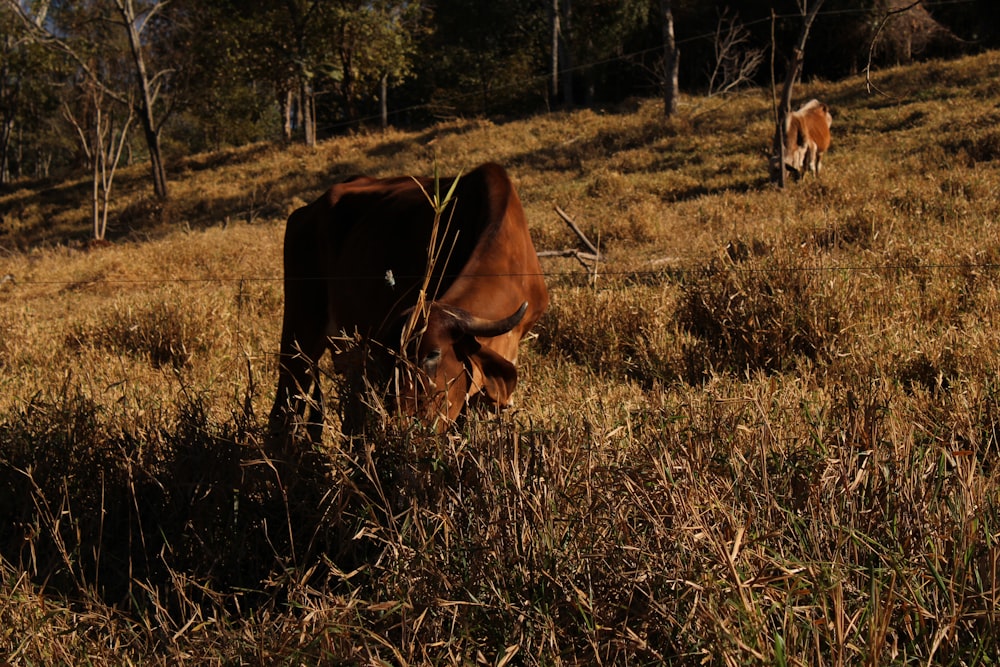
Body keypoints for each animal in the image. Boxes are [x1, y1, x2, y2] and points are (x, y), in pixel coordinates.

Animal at [268, 163, 548, 444]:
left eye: (433, 354)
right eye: (395, 360)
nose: (404, 421)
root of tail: (307, 211)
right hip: (299, 335)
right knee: (285, 403)